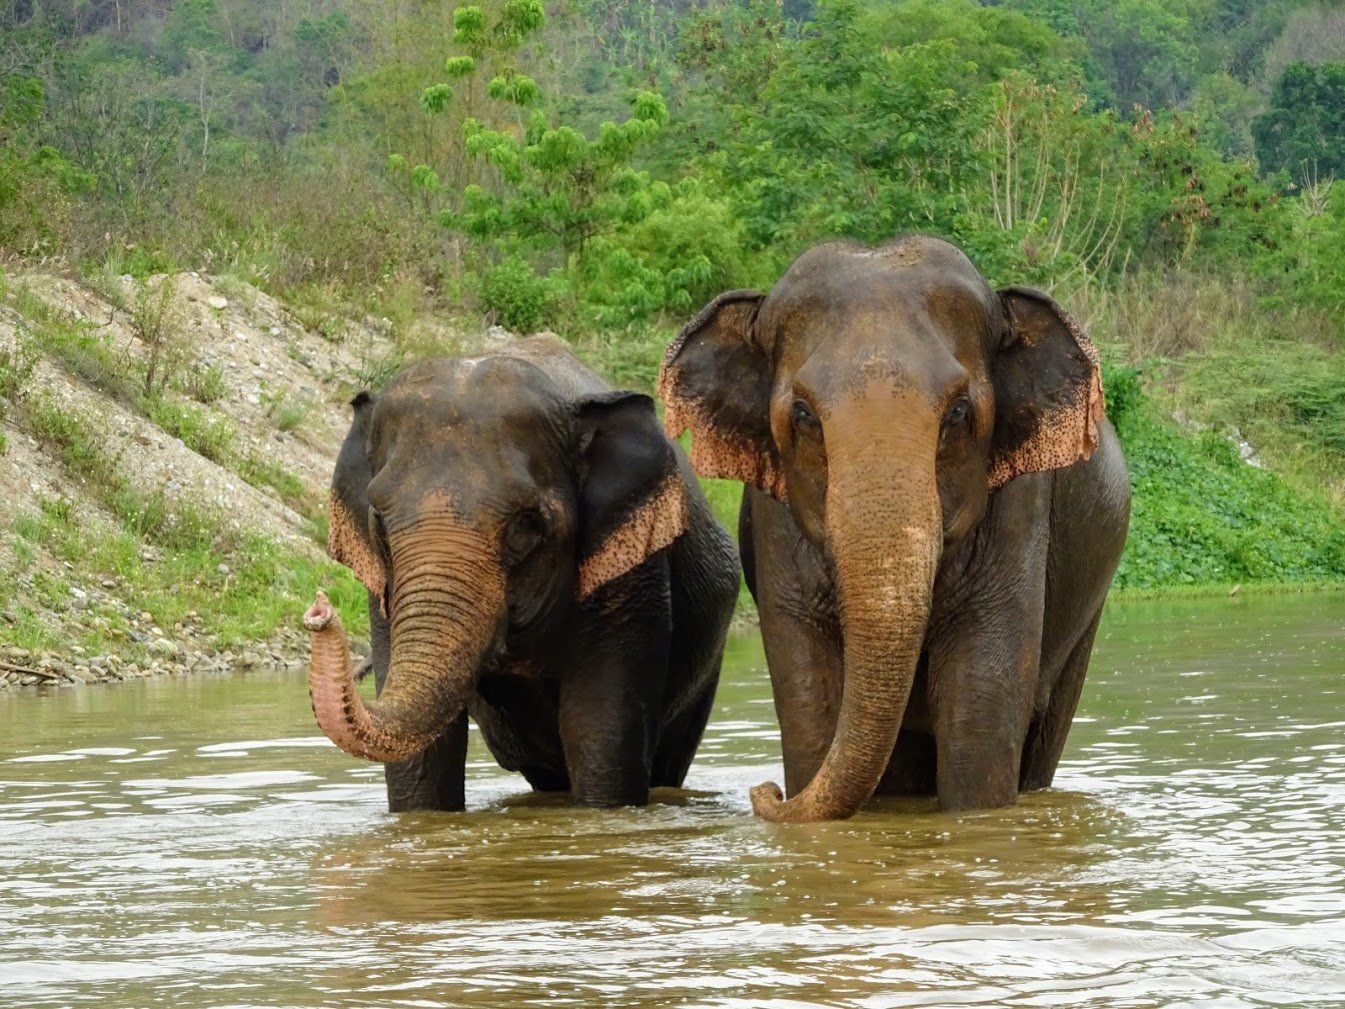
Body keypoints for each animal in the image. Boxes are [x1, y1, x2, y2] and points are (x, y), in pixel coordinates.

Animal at [304, 335, 740, 811]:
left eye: (525, 526)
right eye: (379, 521)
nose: (319, 610)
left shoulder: (629, 577)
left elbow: (600, 733)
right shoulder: (383, 594)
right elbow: (425, 763)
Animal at [659, 234, 1130, 822]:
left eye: (958, 411)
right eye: (803, 414)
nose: (764, 793)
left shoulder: (1021, 509)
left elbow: (980, 694)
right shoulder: (777, 523)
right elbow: (808, 693)